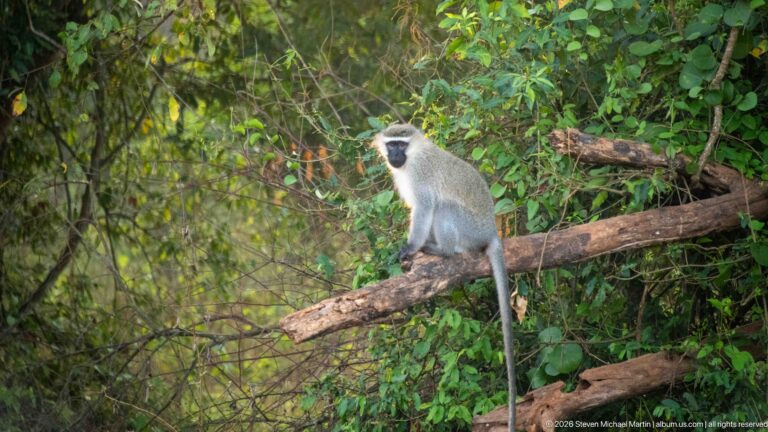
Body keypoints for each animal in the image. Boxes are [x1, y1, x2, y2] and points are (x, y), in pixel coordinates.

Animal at [372, 123, 516, 430]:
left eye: (401, 144)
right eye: (391, 144)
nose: (394, 155)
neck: (414, 157)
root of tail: (491, 231)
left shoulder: (420, 175)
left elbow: (424, 208)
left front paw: (410, 248)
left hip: (469, 229)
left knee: (443, 206)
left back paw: (442, 250)